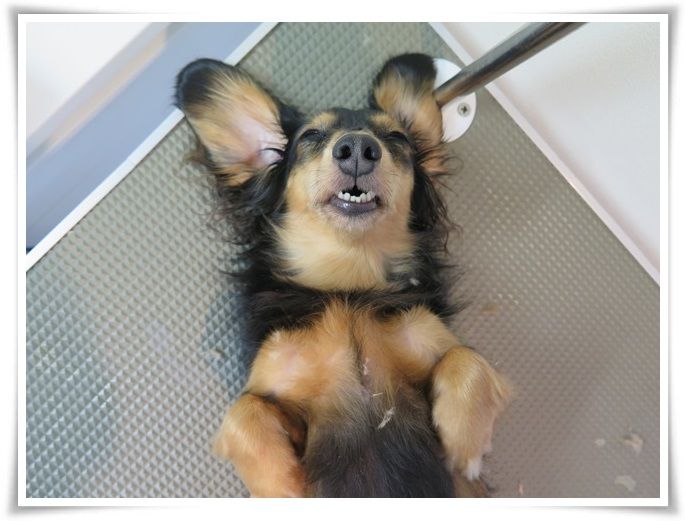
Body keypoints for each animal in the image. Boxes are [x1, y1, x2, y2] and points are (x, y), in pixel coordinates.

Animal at [175, 53, 511, 497]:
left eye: (397, 138)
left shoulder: (429, 339)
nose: (358, 149)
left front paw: (463, 445)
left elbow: (465, 358)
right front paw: (281, 483)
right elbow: (244, 410)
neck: (347, 287)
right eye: (311, 135)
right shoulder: (278, 386)